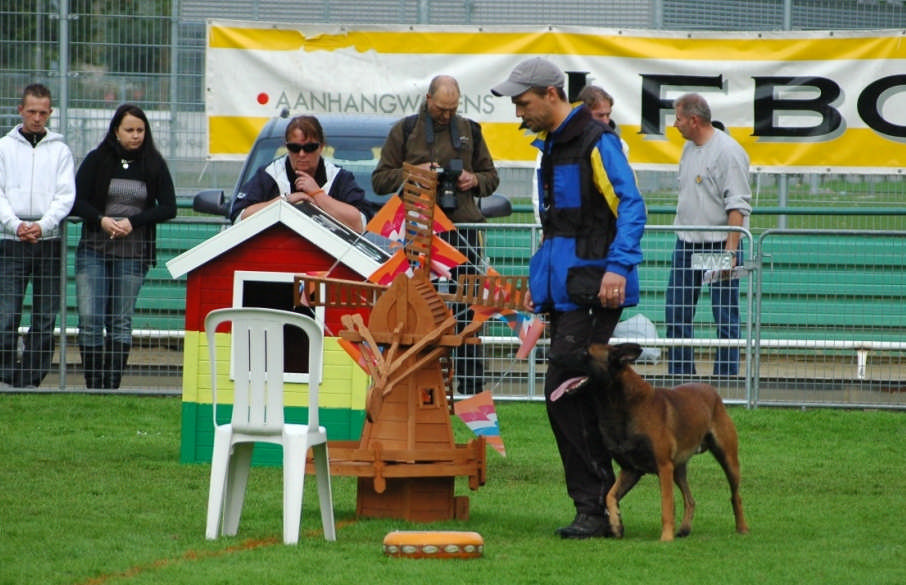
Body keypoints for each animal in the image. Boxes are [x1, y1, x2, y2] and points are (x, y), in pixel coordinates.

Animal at [552, 342, 748, 540]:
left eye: (585, 352)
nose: (552, 357)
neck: (622, 406)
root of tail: (712, 390)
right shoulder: (631, 470)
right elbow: (609, 496)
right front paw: (616, 524)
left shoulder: (663, 467)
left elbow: (667, 505)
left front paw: (666, 538)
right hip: (678, 470)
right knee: (690, 500)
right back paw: (684, 529)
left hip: (727, 461)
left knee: (736, 496)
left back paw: (742, 528)